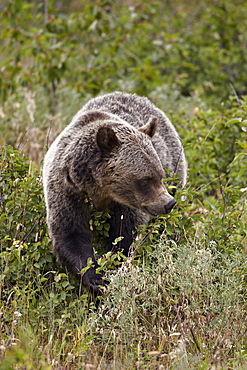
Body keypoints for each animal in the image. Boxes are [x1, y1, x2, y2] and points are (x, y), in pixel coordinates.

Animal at [42, 92, 186, 294]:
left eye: (159, 175)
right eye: (146, 179)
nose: (168, 203)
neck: (100, 189)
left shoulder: (124, 205)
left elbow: (125, 235)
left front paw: (112, 269)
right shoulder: (67, 191)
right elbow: (71, 235)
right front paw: (95, 279)